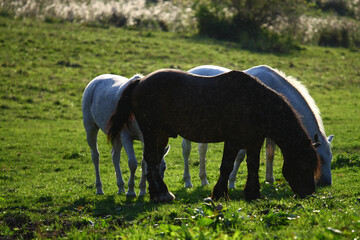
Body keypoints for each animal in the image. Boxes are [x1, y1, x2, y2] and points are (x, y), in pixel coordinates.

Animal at [106, 69, 320, 202]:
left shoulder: (254, 141)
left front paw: (253, 194)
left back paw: (157, 194)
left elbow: (252, 165)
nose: (308, 193)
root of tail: (140, 82)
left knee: (153, 162)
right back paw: (163, 195)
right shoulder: (232, 140)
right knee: (151, 161)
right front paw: (219, 194)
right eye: (304, 165)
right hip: (153, 132)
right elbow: (226, 167)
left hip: (161, 135)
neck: (256, 103)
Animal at [183, 65, 334, 189]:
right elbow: (240, 156)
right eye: (319, 158)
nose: (326, 183)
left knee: (202, 150)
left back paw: (204, 180)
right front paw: (231, 182)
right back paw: (188, 182)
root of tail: (191, 71)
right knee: (186, 150)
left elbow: (270, 155)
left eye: (331, 158)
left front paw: (270, 179)